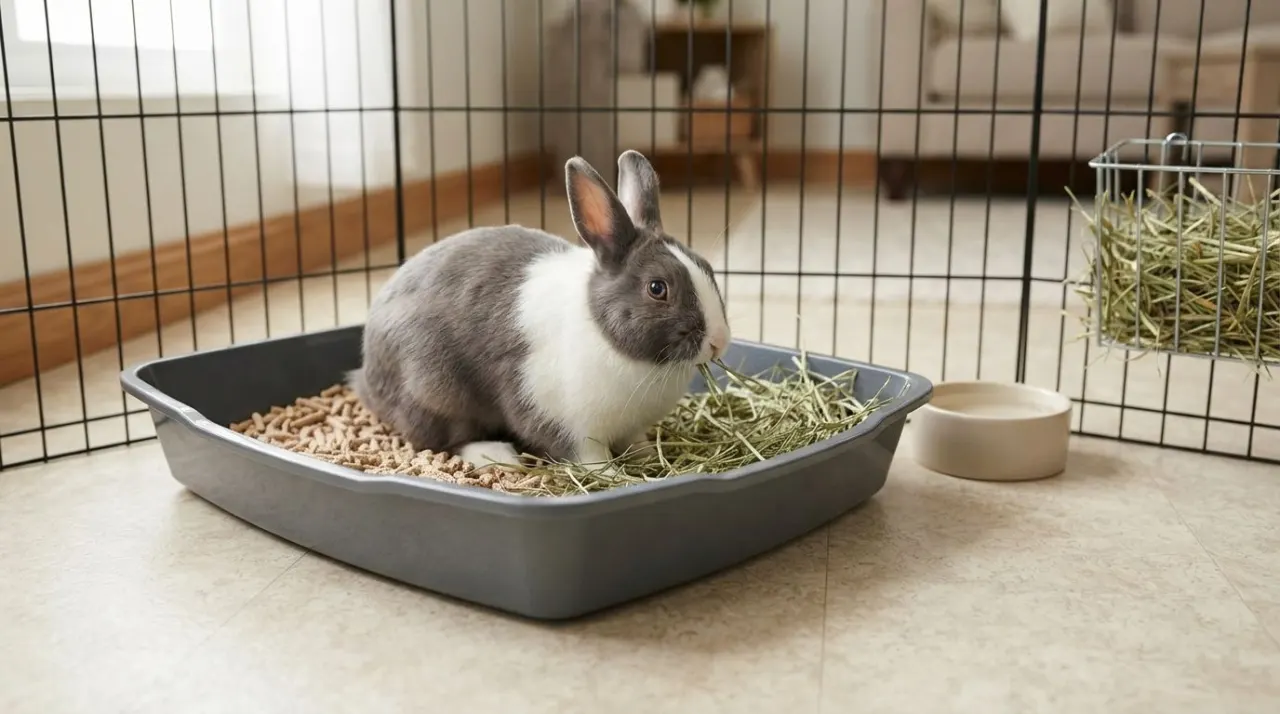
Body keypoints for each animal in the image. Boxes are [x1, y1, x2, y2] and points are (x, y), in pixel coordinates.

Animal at [350, 150, 732, 472]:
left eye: (706, 266)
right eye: (657, 288)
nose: (719, 341)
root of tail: (365, 375)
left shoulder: (629, 426)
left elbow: (634, 442)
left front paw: (648, 455)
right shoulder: (561, 417)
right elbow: (588, 456)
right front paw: (610, 474)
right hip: (435, 391)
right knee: (443, 438)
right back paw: (498, 456)